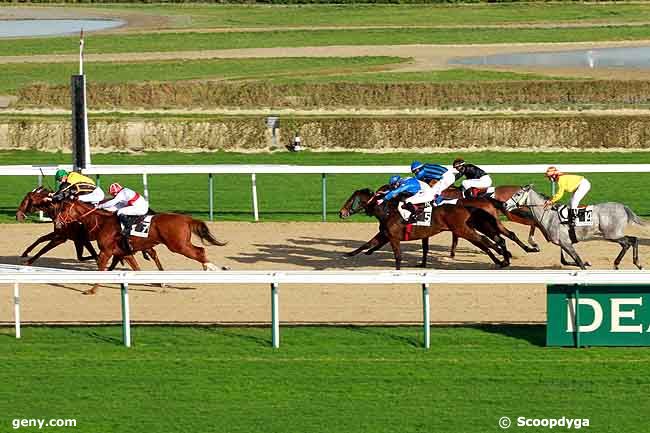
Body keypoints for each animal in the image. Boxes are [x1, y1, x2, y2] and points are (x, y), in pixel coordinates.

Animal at [15, 186, 165, 274]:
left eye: (26, 201)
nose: (18, 215)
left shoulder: (65, 237)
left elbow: (44, 249)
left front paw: (28, 262)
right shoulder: (67, 235)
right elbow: (41, 239)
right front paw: (25, 253)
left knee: (151, 252)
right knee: (149, 252)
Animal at [55, 199, 228, 294]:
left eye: (63, 209)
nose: (57, 222)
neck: (102, 222)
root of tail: (187, 219)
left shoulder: (106, 251)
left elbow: (102, 268)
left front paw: (91, 290)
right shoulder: (123, 252)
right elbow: (135, 268)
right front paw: (157, 283)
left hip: (178, 245)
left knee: (200, 251)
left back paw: (213, 269)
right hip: (180, 244)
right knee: (200, 251)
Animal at [336, 187, 508, 268]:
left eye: (351, 200)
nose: (341, 212)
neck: (388, 211)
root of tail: (466, 206)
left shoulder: (393, 237)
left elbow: (398, 256)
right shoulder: (385, 234)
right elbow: (367, 244)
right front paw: (348, 254)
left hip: (463, 230)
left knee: (484, 241)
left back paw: (503, 259)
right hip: (467, 229)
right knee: (488, 240)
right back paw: (502, 259)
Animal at [502, 184, 644, 268]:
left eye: (517, 194)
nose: (504, 204)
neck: (549, 215)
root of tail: (623, 207)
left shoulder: (566, 243)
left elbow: (578, 261)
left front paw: (585, 264)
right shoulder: (563, 243)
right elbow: (566, 261)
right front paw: (587, 263)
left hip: (611, 234)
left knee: (629, 241)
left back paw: (627, 263)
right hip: (613, 235)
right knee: (632, 240)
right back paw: (630, 263)